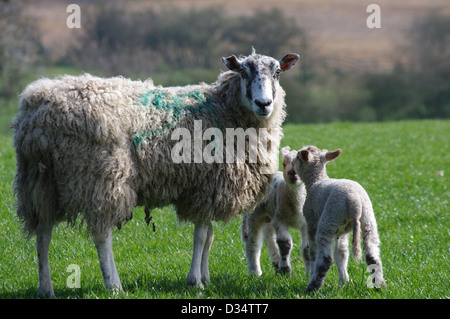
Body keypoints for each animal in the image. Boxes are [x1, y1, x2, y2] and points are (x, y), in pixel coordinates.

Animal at [12, 49, 298, 298]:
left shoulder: (207, 188)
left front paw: (205, 277)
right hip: (100, 177)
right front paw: (195, 281)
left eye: (277, 73)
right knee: (101, 235)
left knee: (43, 234)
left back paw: (45, 288)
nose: (264, 103)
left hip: (40, 182)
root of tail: (40, 116)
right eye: (243, 72)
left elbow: (209, 236)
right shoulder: (207, 186)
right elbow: (201, 236)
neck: (222, 110)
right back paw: (114, 285)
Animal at [243, 146, 310, 276]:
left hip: (270, 216)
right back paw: (255, 272)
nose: (292, 173)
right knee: (252, 242)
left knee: (269, 235)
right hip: (255, 214)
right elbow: (284, 244)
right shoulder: (281, 219)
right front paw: (286, 271)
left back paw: (276, 264)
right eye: (284, 163)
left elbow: (307, 249)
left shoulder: (306, 223)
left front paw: (310, 273)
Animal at [294, 146, 384, 294]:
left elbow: (313, 253)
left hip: (328, 221)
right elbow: (341, 254)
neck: (316, 180)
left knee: (325, 260)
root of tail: (354, 200)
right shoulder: (341, 232)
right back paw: (379, 286)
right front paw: (344, 281)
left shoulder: (311, 223)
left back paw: (313, 286)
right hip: (367, 221)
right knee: (373, 256)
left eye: (297, 157)